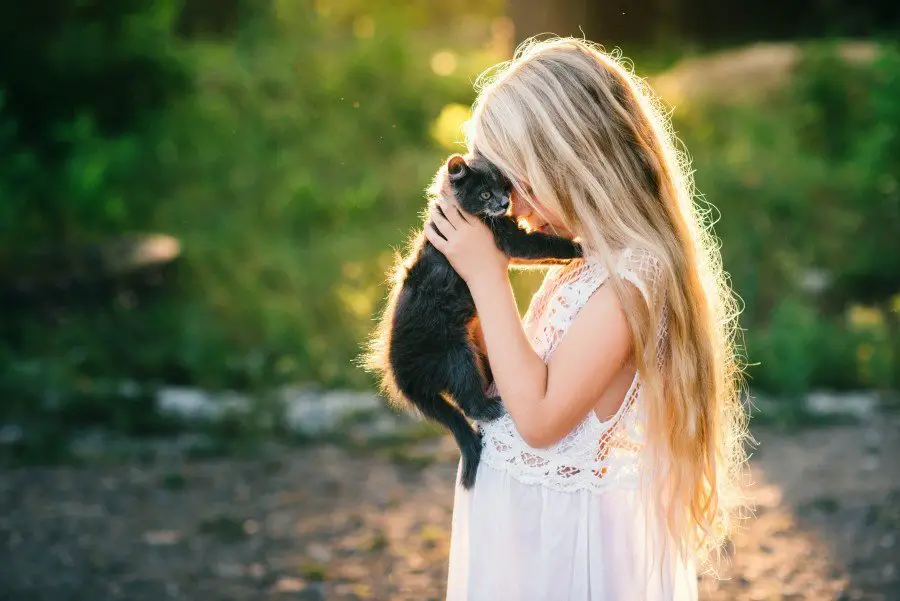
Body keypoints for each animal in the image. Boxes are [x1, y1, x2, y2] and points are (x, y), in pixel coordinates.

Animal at [366, 154, 584, 488]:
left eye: (505, 188)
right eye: (484, 194)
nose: (504, 202)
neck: (478, 217)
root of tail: (405, 380)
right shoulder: (508, 238)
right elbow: (541, 244)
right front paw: (578, 245)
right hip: (455, 353)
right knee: (468, 400)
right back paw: (489, 407)